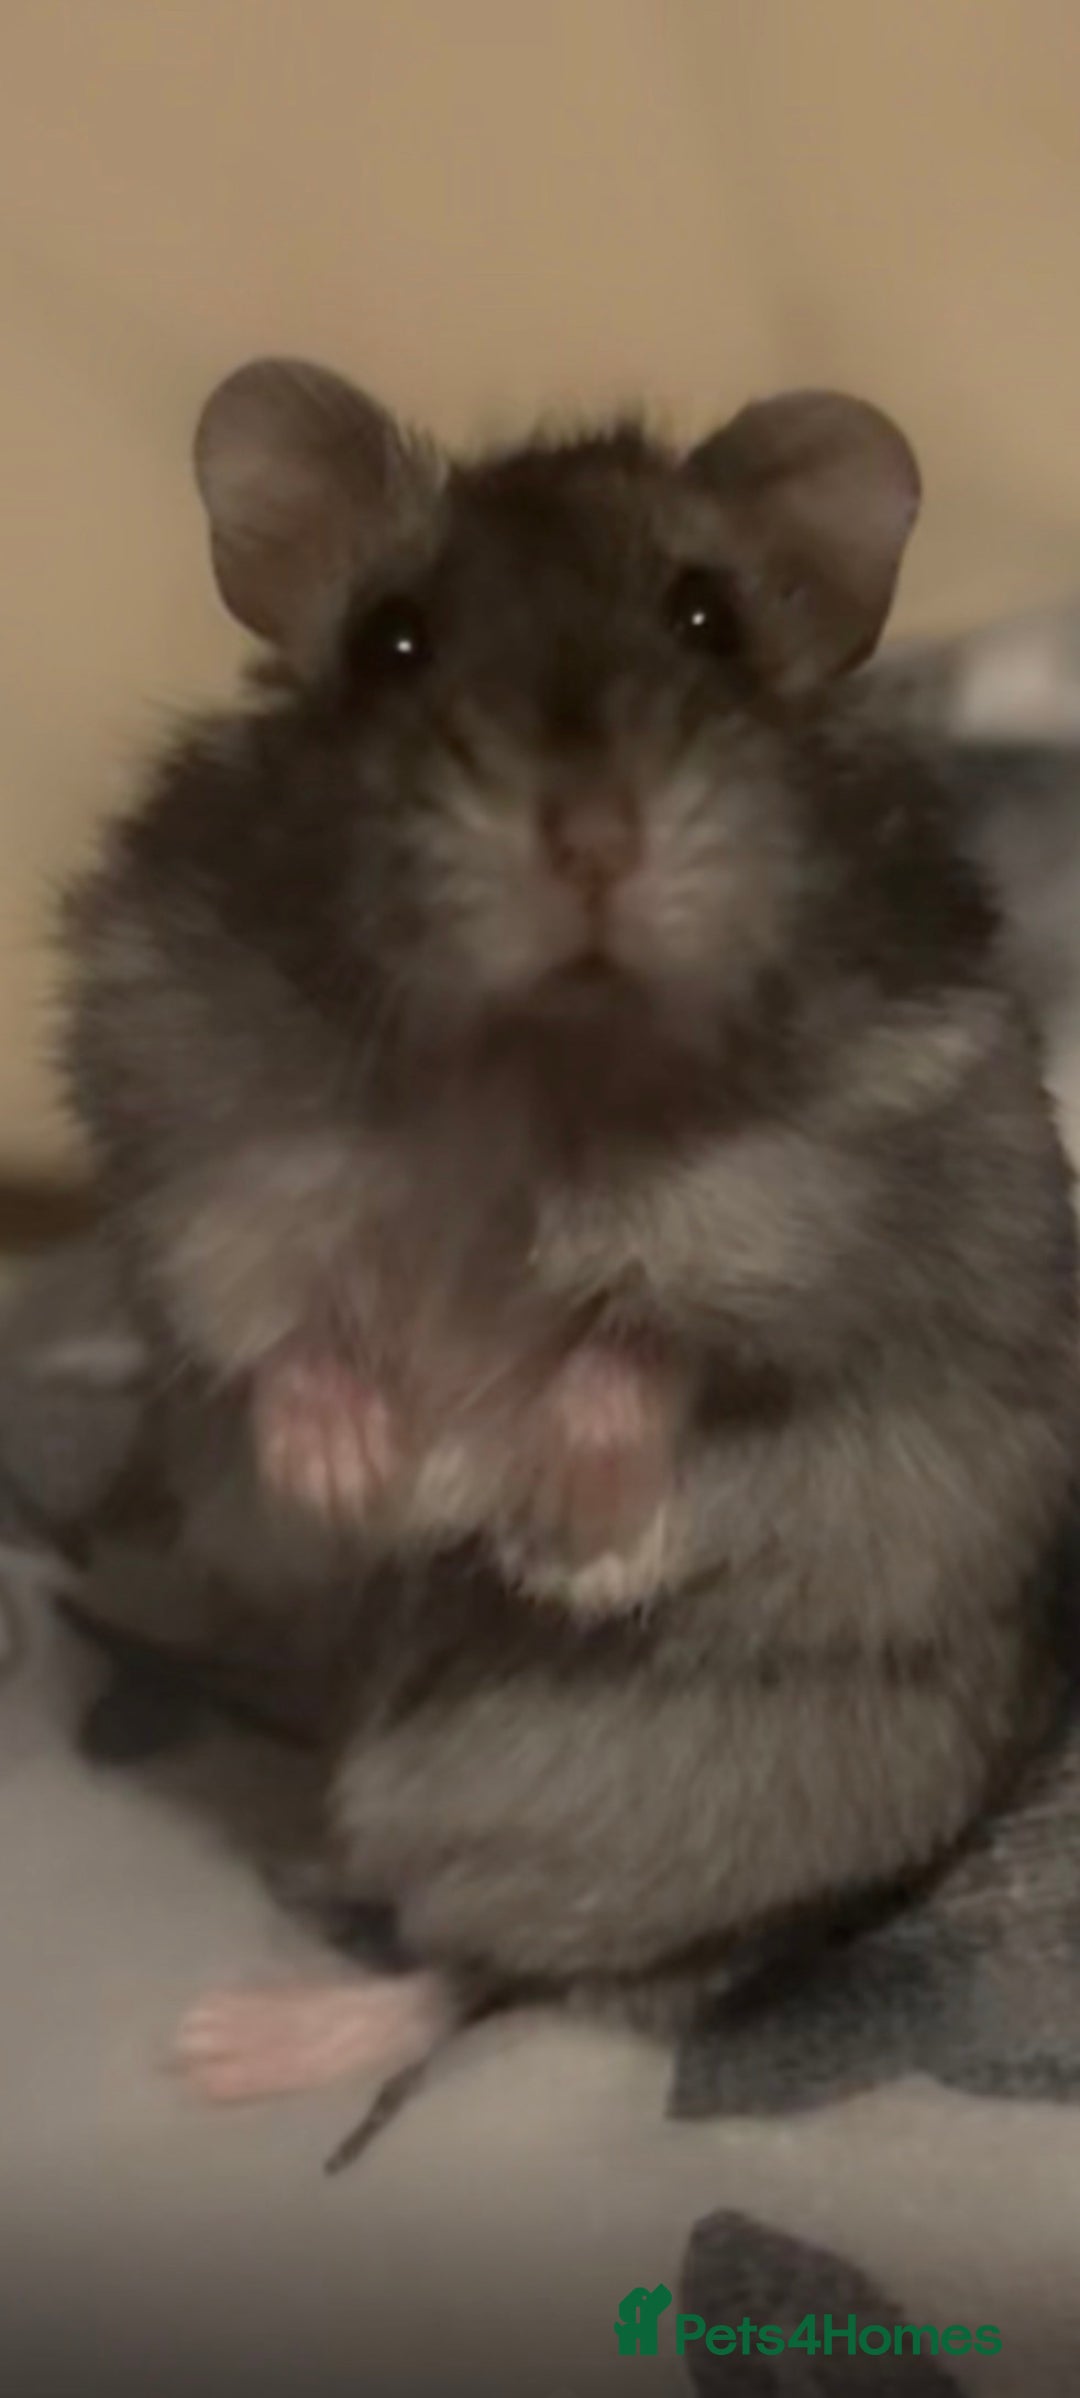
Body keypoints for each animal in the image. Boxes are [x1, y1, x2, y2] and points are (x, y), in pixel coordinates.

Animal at [61, 361, 1080, 2126]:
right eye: (391, 638)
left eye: (706, 619)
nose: (592, 839)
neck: (534, 1062)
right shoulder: (195, 1170)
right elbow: (272, 1334)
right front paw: (360, 1474)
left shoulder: (856, 1208)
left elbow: (655, 1343)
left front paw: (553, 1510)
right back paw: (228, 2038)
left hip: (645, 1815)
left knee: (514, 1971)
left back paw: (255, 2037)